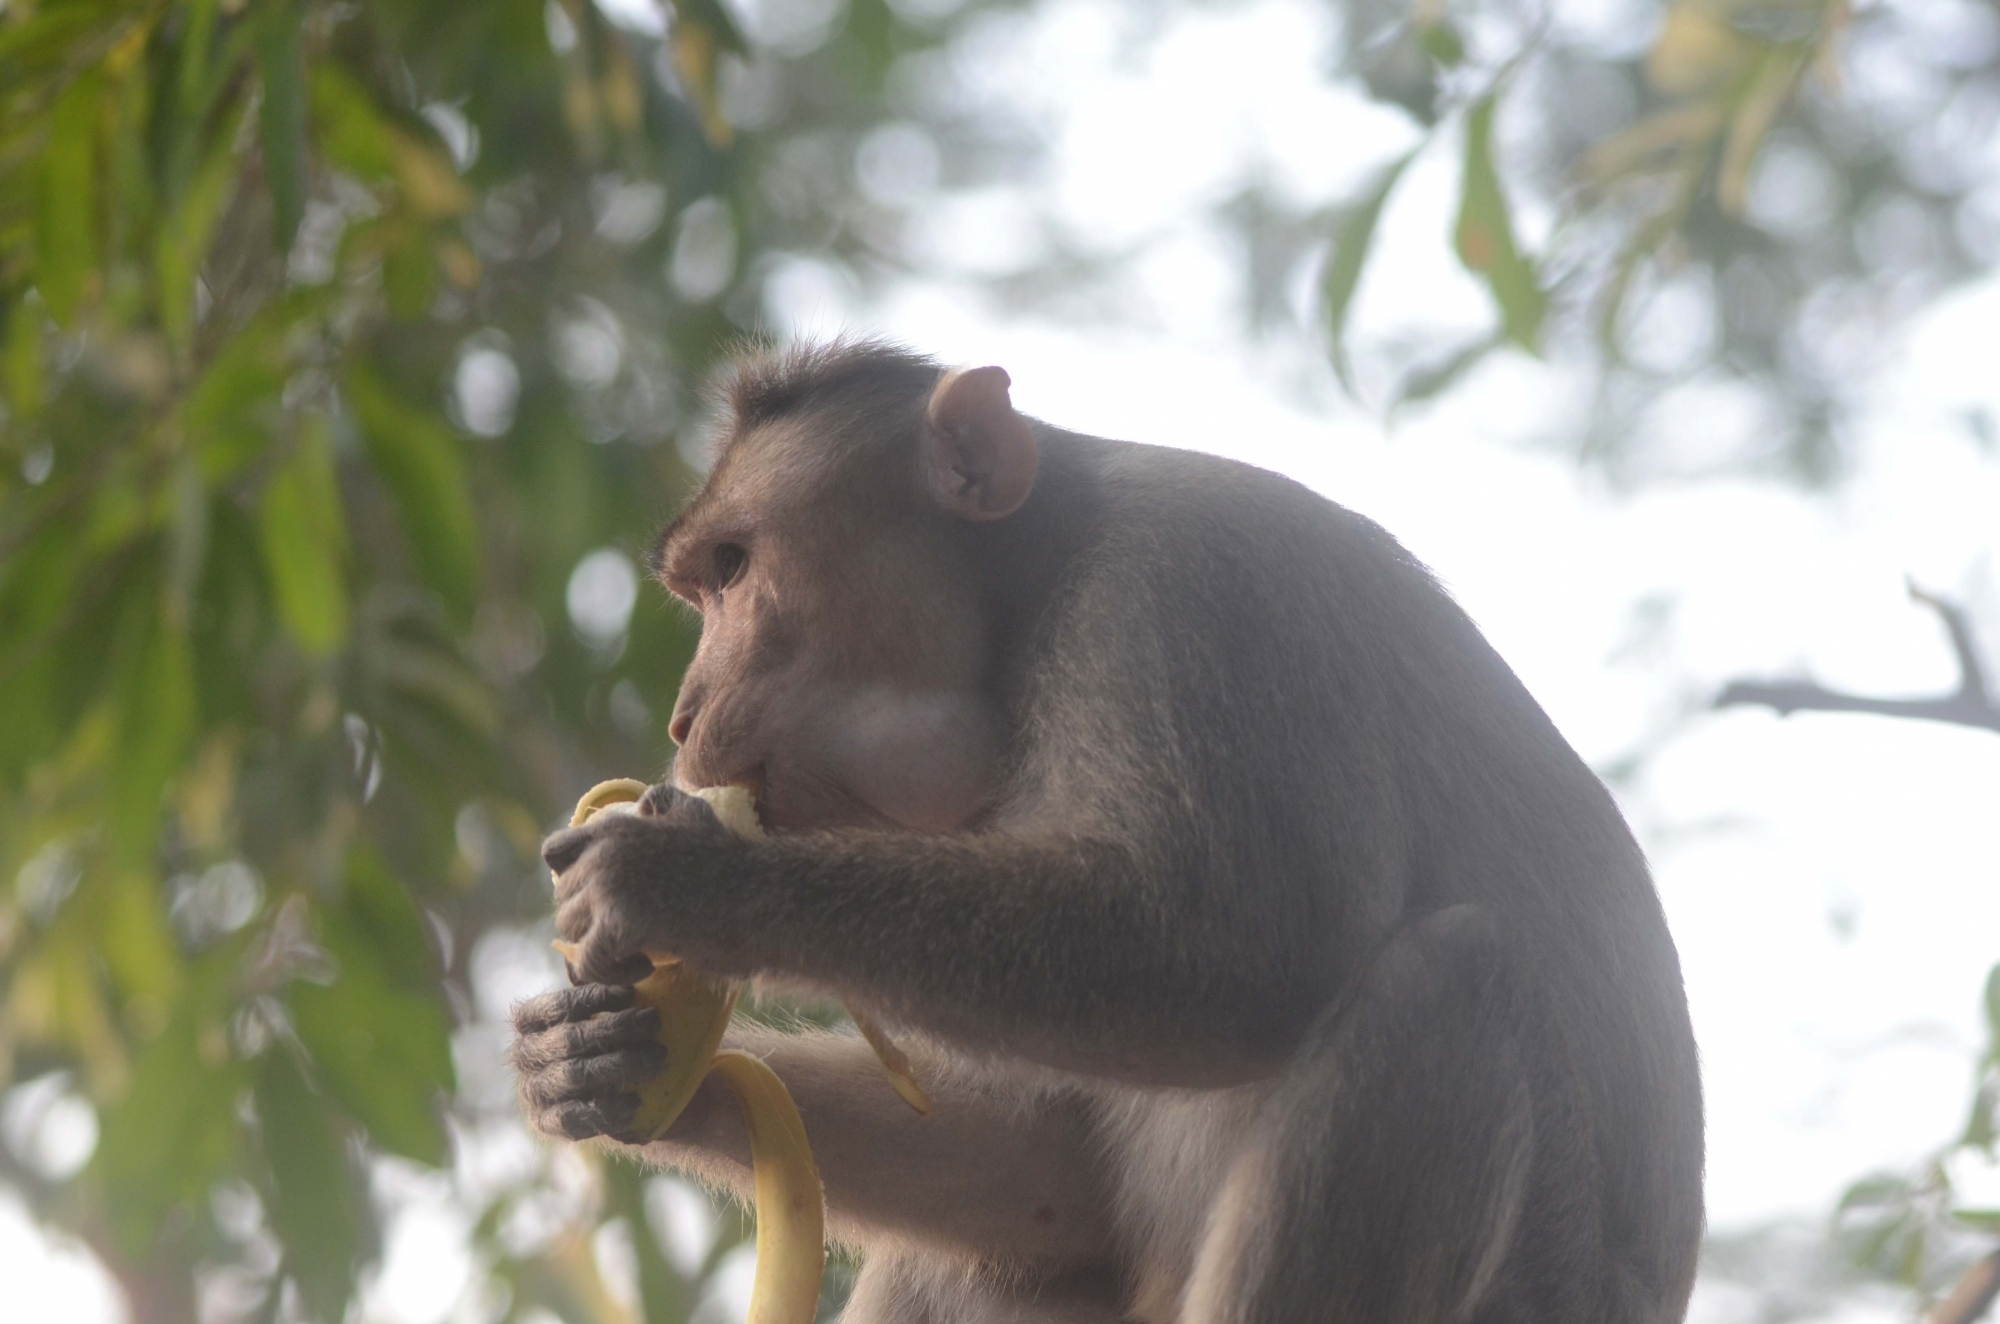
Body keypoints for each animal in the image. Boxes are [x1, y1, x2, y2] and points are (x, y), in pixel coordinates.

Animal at [510, 341, 1705, 1324]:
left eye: (733, 570)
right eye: (700, 585)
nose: (682, 714)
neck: (1035, 601)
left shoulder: (1189, 594)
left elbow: (1258, 953)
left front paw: (690, 882)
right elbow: (1056, 1180)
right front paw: (616, 1061)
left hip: (1536, 1280)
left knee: (1446, 983)